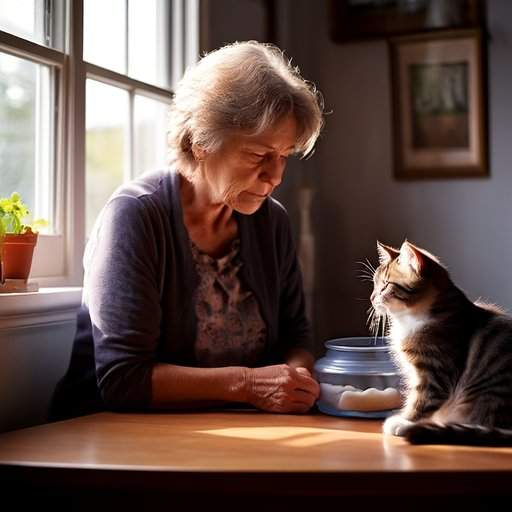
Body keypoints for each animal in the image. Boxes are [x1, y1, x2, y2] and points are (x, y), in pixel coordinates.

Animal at [370, 240, 512, 444]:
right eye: (374, 284)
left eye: (386, 285)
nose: (372, 298)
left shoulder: (435, 370)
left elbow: (422, 399)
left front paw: (405, 422)